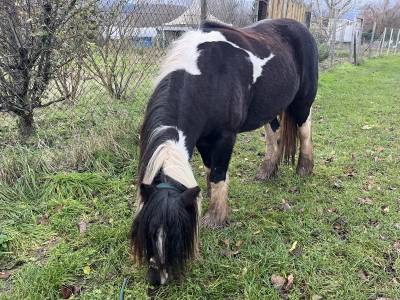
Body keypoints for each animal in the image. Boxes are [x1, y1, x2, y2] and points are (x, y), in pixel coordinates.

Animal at [131, 18, 318, 286]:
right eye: (146, 232)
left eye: (177, 236)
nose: (157, 279)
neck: (206, 74)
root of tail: (300, 27)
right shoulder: (203, 139)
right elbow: (210, 171)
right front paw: (208, 201)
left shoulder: (225, 137)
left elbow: (219, 174)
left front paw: (216, 218)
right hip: (271, 108)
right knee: (274, 136)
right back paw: (267, 171)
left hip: (303, 102)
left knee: (305, 131)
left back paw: (304, 168)